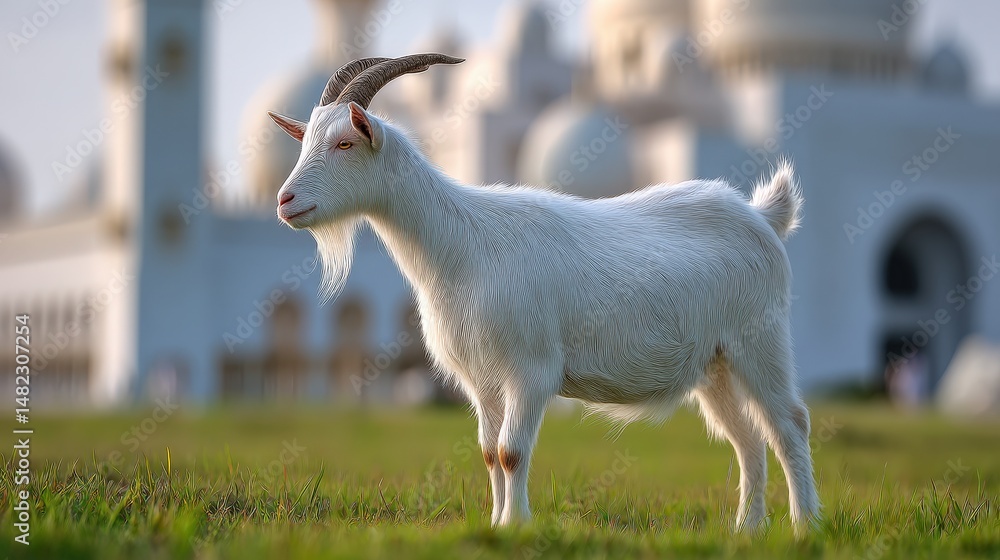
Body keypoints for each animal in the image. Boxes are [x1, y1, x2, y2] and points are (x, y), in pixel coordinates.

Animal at [267, 54, 819, 531]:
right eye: (305, 140)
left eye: (344, 143)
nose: (284, 201)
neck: (462, 244)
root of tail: (762, 215)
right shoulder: (482, 378)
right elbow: (489, 452)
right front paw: (495, 523)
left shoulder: (530, 369)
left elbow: (512, 452)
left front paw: (517, 525)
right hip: (716, 363)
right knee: (747, 439)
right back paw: (747, 529)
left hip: (759, 339)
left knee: (790, 424)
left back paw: (804, 525)